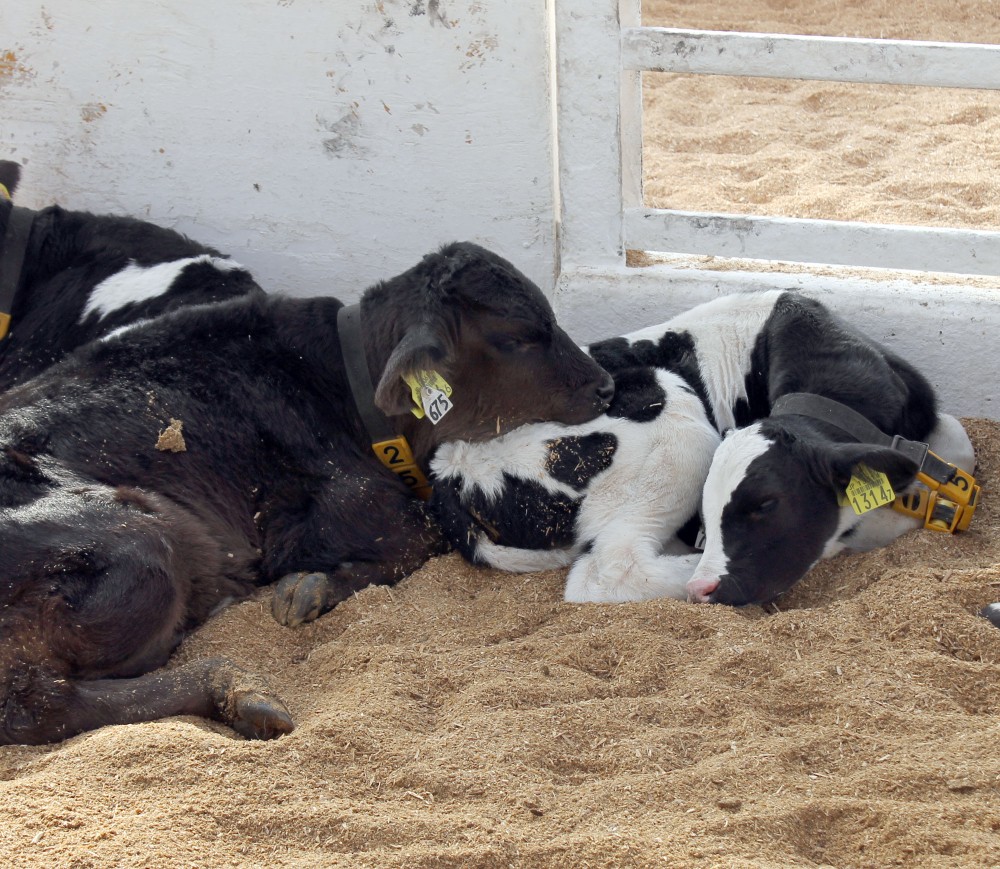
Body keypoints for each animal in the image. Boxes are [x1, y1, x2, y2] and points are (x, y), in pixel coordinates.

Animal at [432, 288, 976, 608]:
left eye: (766, 505)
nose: (710, 580)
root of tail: (450, 468)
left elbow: (958, 443)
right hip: (681, 432)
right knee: (607, 571)